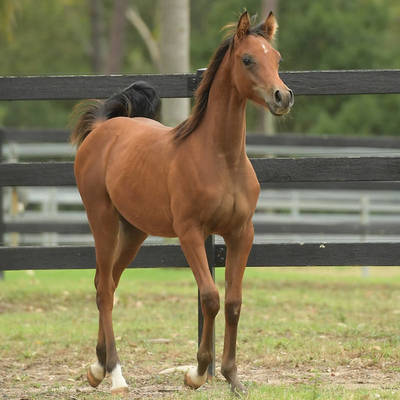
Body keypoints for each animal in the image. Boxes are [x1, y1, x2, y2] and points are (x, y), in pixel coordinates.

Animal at [71, 10, 293, 395]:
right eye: (248, 59)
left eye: (277, 58)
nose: (282, 97)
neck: (221, 158)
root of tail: (102, 129)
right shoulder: (191, 233)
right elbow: (210, 297)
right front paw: (198, 372)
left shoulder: (241, 233)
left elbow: (233, 302)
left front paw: (233, 377)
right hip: (103, 221)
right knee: (105, 289)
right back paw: (115, 374)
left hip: (134, 231)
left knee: (106, 282)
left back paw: (97, 367)